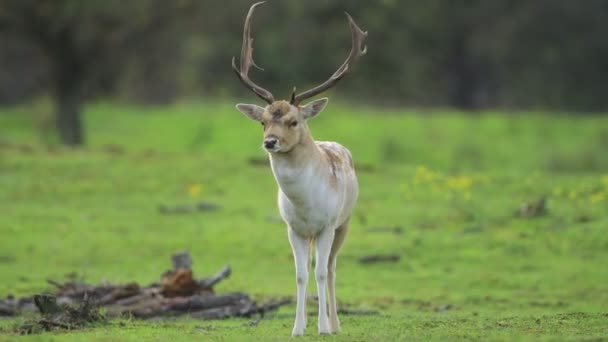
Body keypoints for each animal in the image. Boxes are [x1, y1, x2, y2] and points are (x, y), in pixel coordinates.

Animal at [232, 1, 366, 336]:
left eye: (293, 121)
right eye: (263, 121)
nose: (270, 142)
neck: (306, 204)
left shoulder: (326, 225)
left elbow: (320, 273)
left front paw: (322, 328)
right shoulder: (292, 227)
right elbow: (301, 274)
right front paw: (297, 328)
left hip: (345, 222)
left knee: (331, 268)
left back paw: (335, 324)